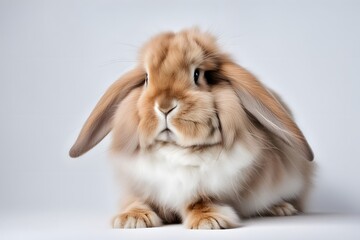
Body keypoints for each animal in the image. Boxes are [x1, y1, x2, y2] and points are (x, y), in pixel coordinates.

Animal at [69, 27, 314, 229]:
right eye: (147, 78)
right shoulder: (139, 184)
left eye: (198, 75)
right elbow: (135, 199)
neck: (174, 150)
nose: (164, 106)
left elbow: (198, 201)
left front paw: (209, 221)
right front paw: (132, 219)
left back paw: (281, 208)